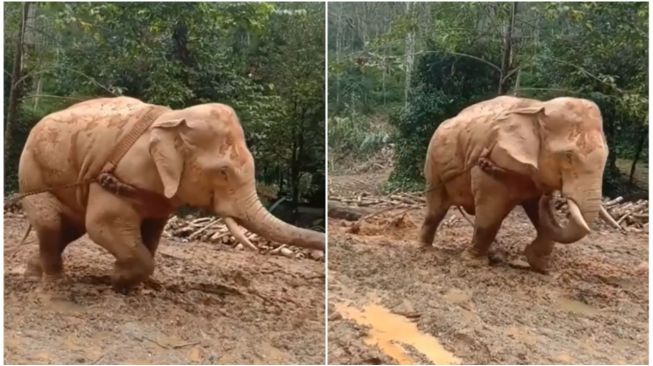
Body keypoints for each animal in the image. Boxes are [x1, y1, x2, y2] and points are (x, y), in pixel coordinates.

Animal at [19, 96, 324, 290]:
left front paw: (134, 283)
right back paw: (54, 283)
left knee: (69, 228)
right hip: (32, 176)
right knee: (51, 223)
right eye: (223, 172)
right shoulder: (117, 179)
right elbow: (102, 224)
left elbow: (153, 232)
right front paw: (117, 280)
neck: (175, 118)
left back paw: (33, 273)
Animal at [420, 96, 608, 274]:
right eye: (568, 156)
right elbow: (490, 214)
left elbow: (537, 211)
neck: (539, 107)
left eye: (607, 156)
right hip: (433, 164)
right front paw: (472, 262)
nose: (550, 195)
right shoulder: (493, 164)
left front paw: (538, 265)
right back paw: (426, 250)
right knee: (436, 208)